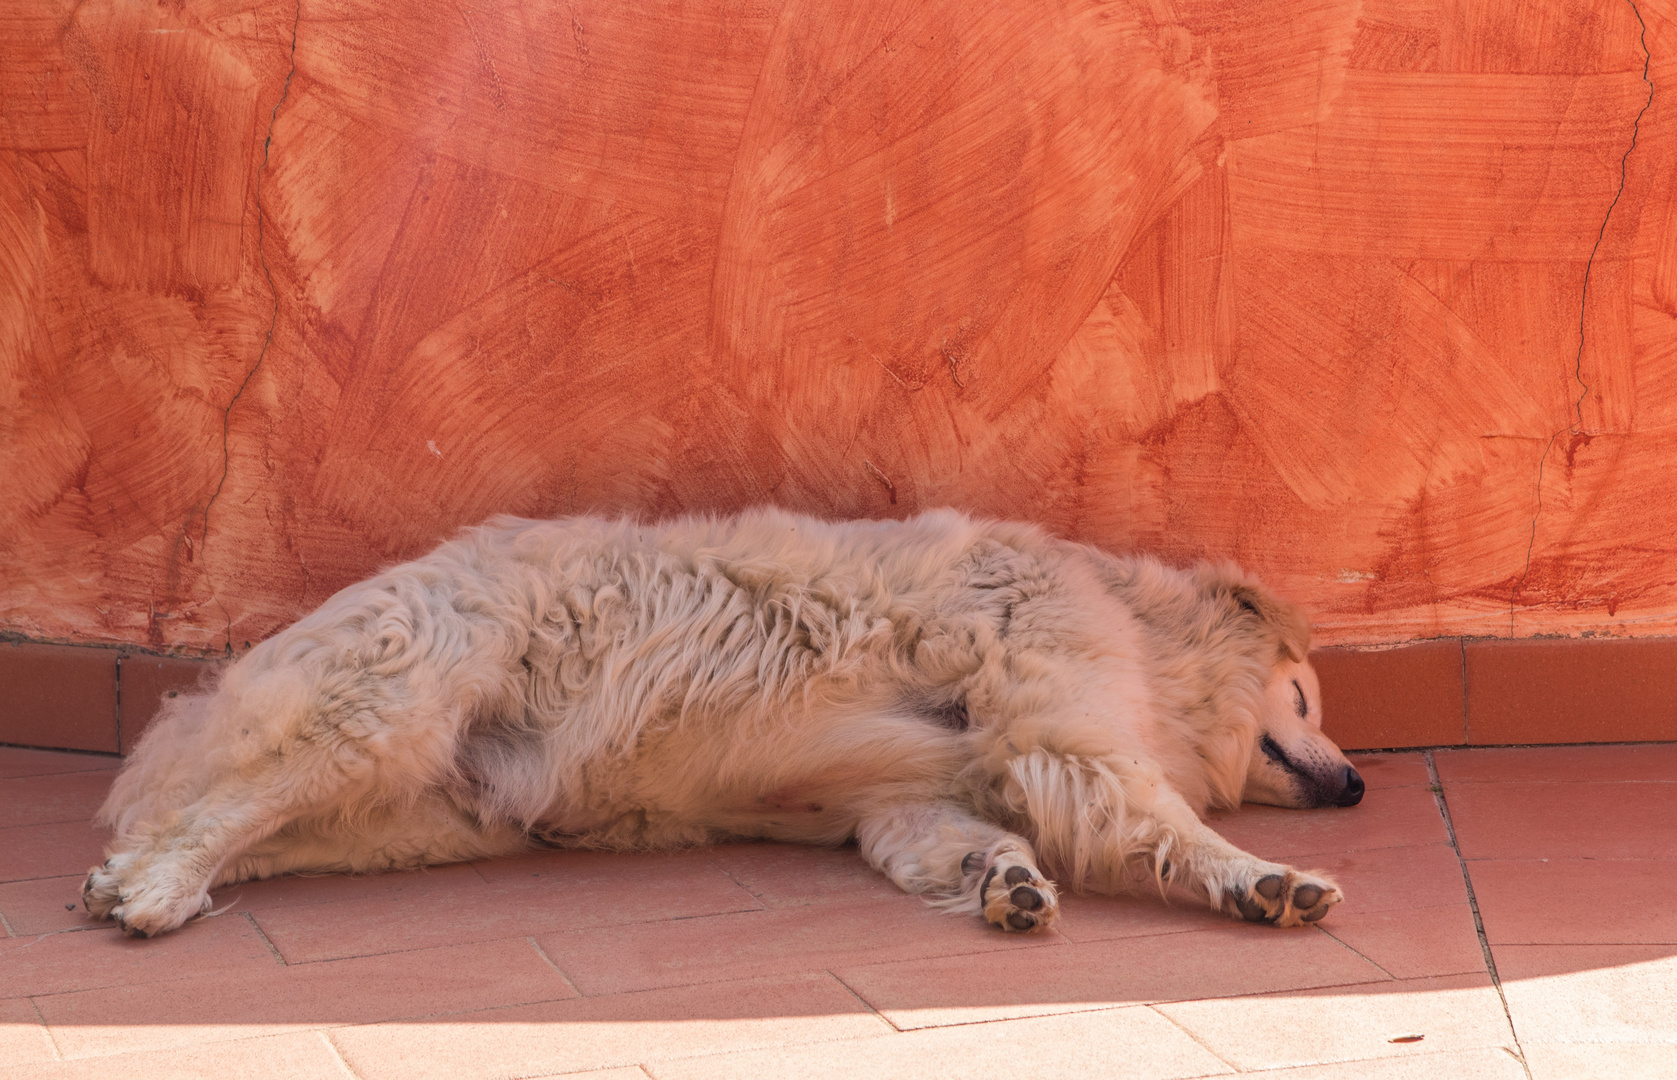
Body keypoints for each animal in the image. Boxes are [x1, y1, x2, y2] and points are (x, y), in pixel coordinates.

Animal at [81, 506, 1361, 939]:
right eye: (1304, 697)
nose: (1355, 787)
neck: (1143, 631)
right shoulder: (1071, 730)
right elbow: (1166, 823)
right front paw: (1264, 882)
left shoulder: (906, 805)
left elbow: (967, 844)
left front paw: (1006, 886)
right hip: (384, 715)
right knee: (207, 814)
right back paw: (154, 894)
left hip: (417, 819)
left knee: (230, 831)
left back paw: (127, 882)